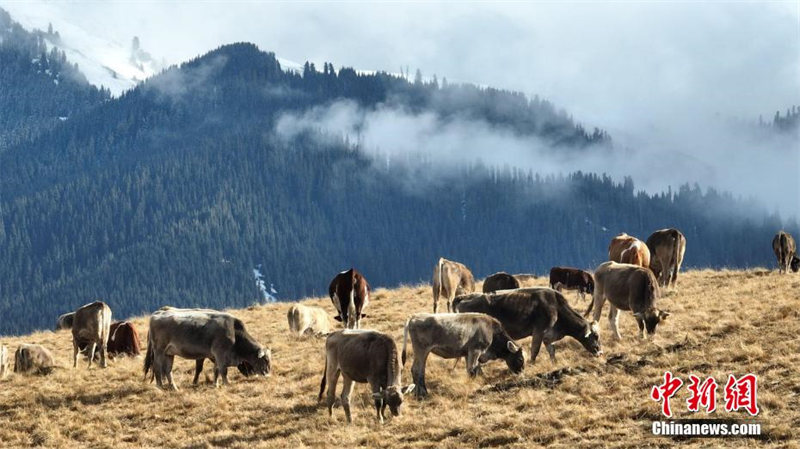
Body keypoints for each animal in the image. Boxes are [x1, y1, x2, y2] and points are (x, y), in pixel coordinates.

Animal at [142, 304, 270, 388]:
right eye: (265, 360)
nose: (268, 373)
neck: (235, 334)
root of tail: (157, 314)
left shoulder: (216, 356)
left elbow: (216, 370)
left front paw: (216, 384)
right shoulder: (220, 354)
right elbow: (223, 371)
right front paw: (227, 383)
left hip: (169, 353)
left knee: (168, 370)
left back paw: (174, 387)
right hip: (159, 350)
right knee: (157, 367)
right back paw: (160, 386)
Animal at [454, 288, 604, 364]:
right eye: (595, 336)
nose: (600, 352)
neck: (557, 307)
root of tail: (464, 297)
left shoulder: (549, 336)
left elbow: (552, 351)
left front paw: (554, 363)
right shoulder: (539, 330)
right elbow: (535, 350)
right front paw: (531, 364)